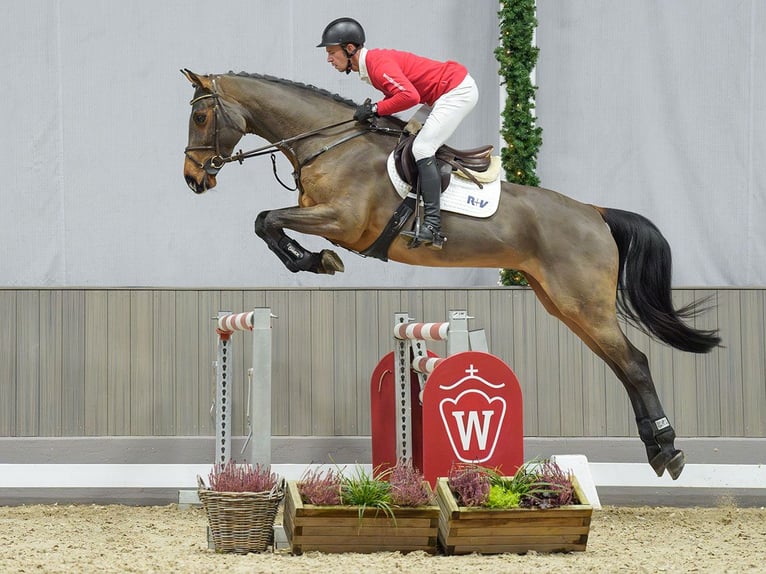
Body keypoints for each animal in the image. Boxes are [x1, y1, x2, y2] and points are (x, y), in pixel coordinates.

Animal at [183, 68, 724, 482]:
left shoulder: (343, 222)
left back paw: (669, 450)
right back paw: (656, 448)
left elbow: (268, 219)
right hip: (562, 303)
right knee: (621, 364)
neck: (329, 143)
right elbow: (265, 221)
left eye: (200, 116)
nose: (193, 179)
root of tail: (595, 212)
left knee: (634, 362)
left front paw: (313, 260)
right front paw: (309, 259)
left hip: (582, 302)